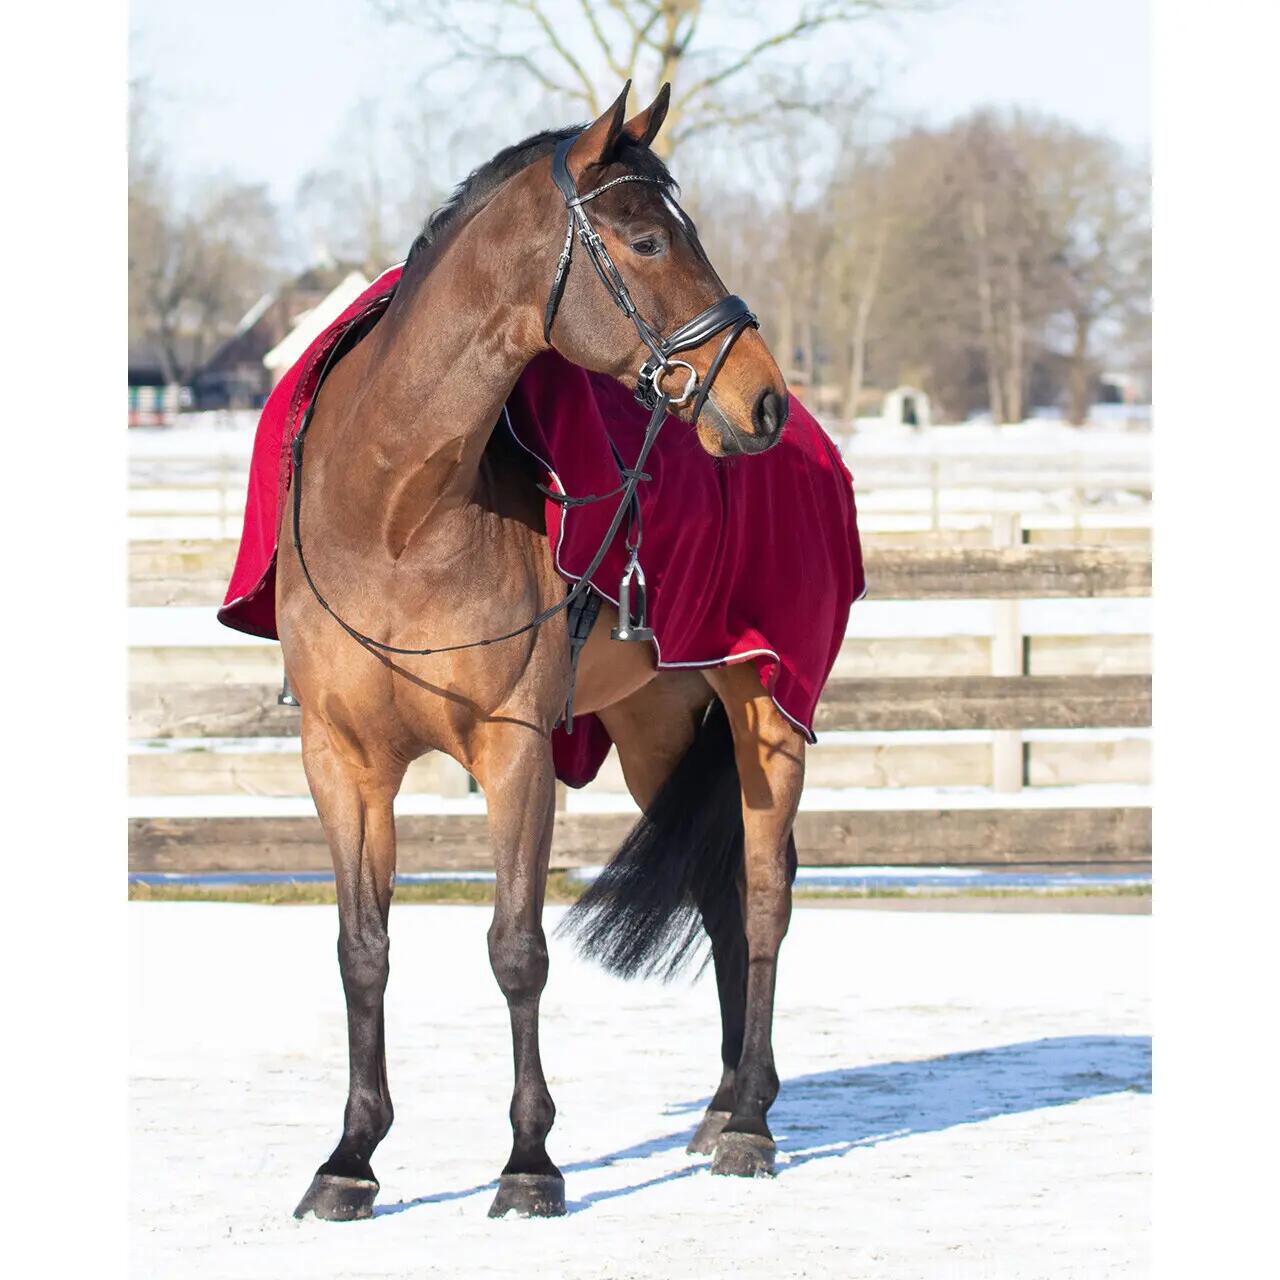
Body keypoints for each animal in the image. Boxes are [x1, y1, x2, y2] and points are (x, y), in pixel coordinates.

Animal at [280, 83, 805, 1222]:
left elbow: (517, 948)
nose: (763, 403)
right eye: (648, 239)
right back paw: (720, 1105)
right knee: (717, 892)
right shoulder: (342, 761)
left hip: (767, 713)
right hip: (656, 722)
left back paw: (749, 1119)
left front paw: (529, 1160)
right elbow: (360, 950)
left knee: (762, 893)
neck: (394, 511)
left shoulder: (514, 749)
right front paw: (350, 1156)